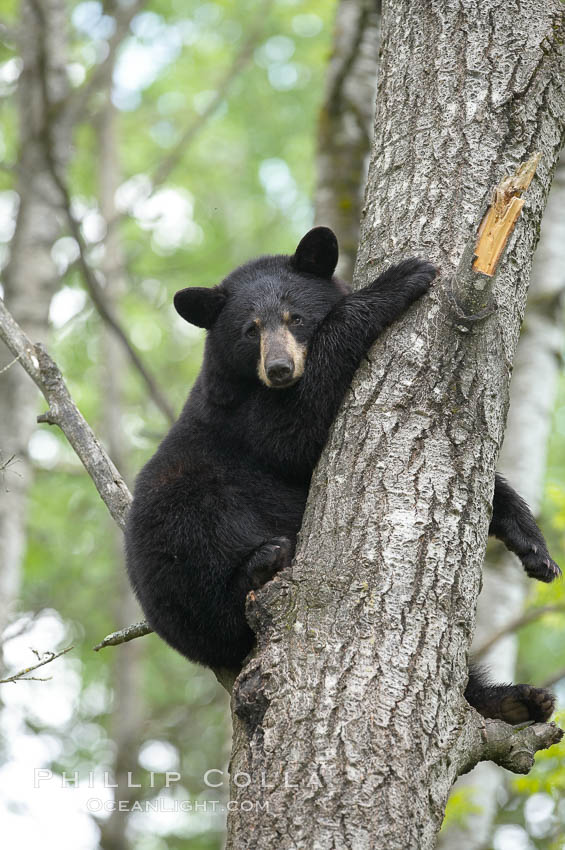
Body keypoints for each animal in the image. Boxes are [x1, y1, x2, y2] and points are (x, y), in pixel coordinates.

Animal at [124, 225, 560, 724]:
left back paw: (517, 701)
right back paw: (261, 563)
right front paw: (401, 278)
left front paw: (534, 547)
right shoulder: (239, 416)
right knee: (202, 557)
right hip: (174, 522)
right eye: (250, 330)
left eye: (294, 318)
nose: (279, 368)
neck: (253, 385)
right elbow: (293, 433)